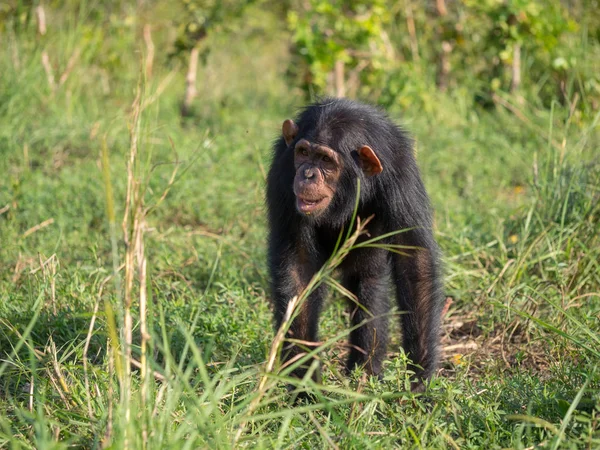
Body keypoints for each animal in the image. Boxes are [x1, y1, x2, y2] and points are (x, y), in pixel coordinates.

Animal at [264, 97, 442, 390]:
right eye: (303, 152)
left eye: (326, 160)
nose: (308, 174)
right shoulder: (283, 172)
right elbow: (299, 269)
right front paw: (304, 382)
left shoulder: (401, 172)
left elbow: (414, 261)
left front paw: (419, 379)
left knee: (367, 286)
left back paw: (365, 373)